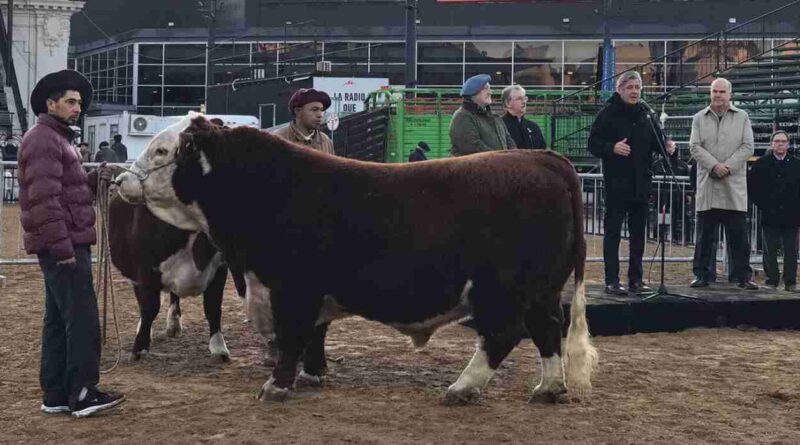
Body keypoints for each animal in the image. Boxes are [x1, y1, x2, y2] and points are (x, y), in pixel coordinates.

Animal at [115, 112, 596, 404]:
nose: (120, 180)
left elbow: (291, 336)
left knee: (503, 334)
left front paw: (277, 385)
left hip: (506, 290)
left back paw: (462, 387)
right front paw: (312, 375)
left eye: (161, 150)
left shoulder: (291, 287)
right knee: (547, 331)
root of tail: (544, 159)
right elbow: (313, 335)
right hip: (541, 291)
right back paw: (549, 388)